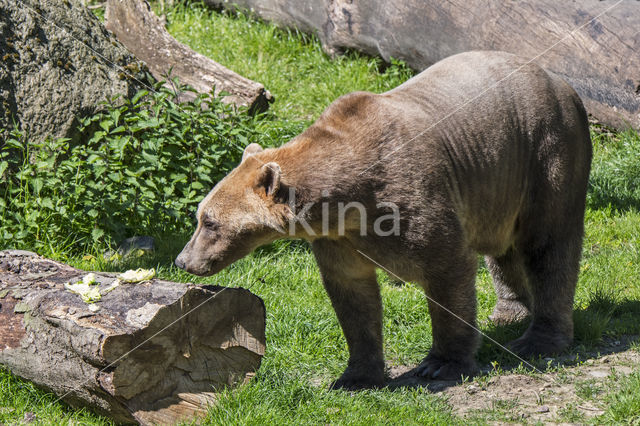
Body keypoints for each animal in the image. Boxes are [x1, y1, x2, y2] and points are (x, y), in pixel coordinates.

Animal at [174, 50, 592, 390]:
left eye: (210, 222)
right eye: (199, 216)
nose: (183, 260)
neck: (351, 200)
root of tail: (561, 82)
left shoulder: (415, 201)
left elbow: (448, 270)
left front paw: (440, 364)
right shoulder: (340, 239)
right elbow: (353, 297)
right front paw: (355, 375)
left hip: (544, 150)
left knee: (549, 245)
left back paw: (539, 339)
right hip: (499, 185)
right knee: (502, 248)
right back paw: (508, 312)